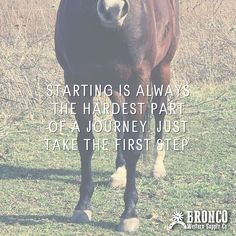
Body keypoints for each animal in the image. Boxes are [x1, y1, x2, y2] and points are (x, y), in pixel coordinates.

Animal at [55, 0, 180, 232]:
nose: (113, 10)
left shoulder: (138, 83)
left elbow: (133, 147)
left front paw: (129, 213)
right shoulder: (76, 82)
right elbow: (86, 144)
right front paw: (83, 206)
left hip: (162, 68)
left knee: (159, 111)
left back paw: (157, 167)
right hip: (114, 85)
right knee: (120, 118)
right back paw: (120, 172)